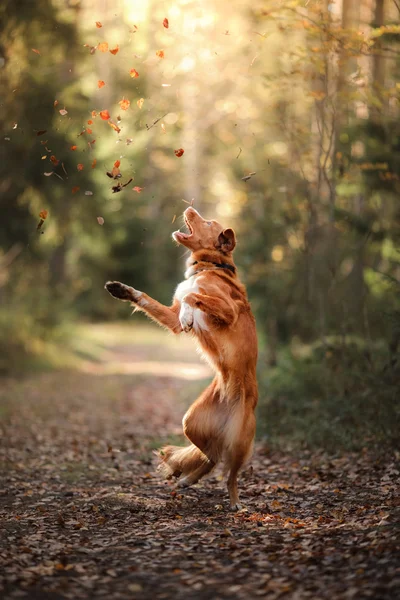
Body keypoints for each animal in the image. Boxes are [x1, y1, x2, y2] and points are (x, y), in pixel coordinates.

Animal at [104, 207, 258, 510]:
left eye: (208, 222)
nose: (189, 208)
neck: (209, 267)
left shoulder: (228, 309)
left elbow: (193, 295)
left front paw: (189, 313)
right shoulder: (172, 319)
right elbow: (153, 298)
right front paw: (123, 290)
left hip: (240, 442)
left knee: (229, 472)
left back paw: (234, 501)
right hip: (191, 423)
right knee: (211, 455)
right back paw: (187, 479)